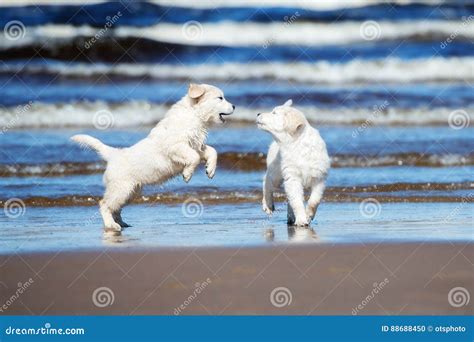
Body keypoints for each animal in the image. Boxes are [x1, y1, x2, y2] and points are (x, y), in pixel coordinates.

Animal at [71, 84, 234, 231]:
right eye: (220, 98)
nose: (233, 106)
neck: (194, 115)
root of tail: (113, 154)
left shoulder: (196, 146)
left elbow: (212, 151)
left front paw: (210, 170)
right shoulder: (175, 146)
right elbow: (193, 157)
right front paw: (187, 175)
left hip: (130, 192)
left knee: (116, 208)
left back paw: (121, 223)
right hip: (121, 189)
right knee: (104, 204)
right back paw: (112, 225)